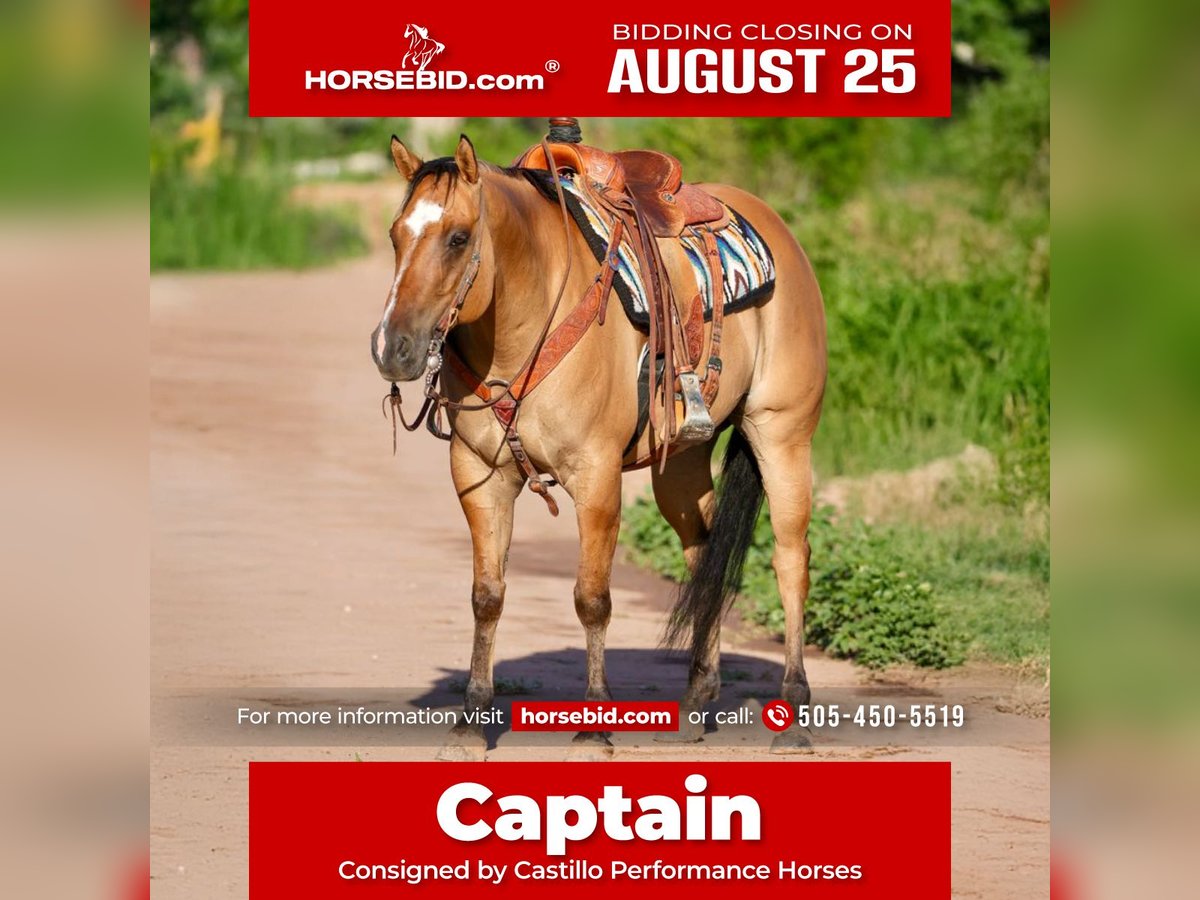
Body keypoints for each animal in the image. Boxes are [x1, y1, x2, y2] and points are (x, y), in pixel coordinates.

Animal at [371, 133, 827, 759]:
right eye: (396, 235)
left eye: (458, 238)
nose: (393, 349)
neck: (527, 322)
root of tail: (780, 231)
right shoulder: (480, 478)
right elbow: (487, 596)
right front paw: (469, 726)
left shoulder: (596, 479)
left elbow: (592, 600)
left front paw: (593, 730)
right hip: (681, 464)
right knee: (703, 555)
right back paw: (696, 702)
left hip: (782, 434)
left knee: (790, 559)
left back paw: (795, 713)